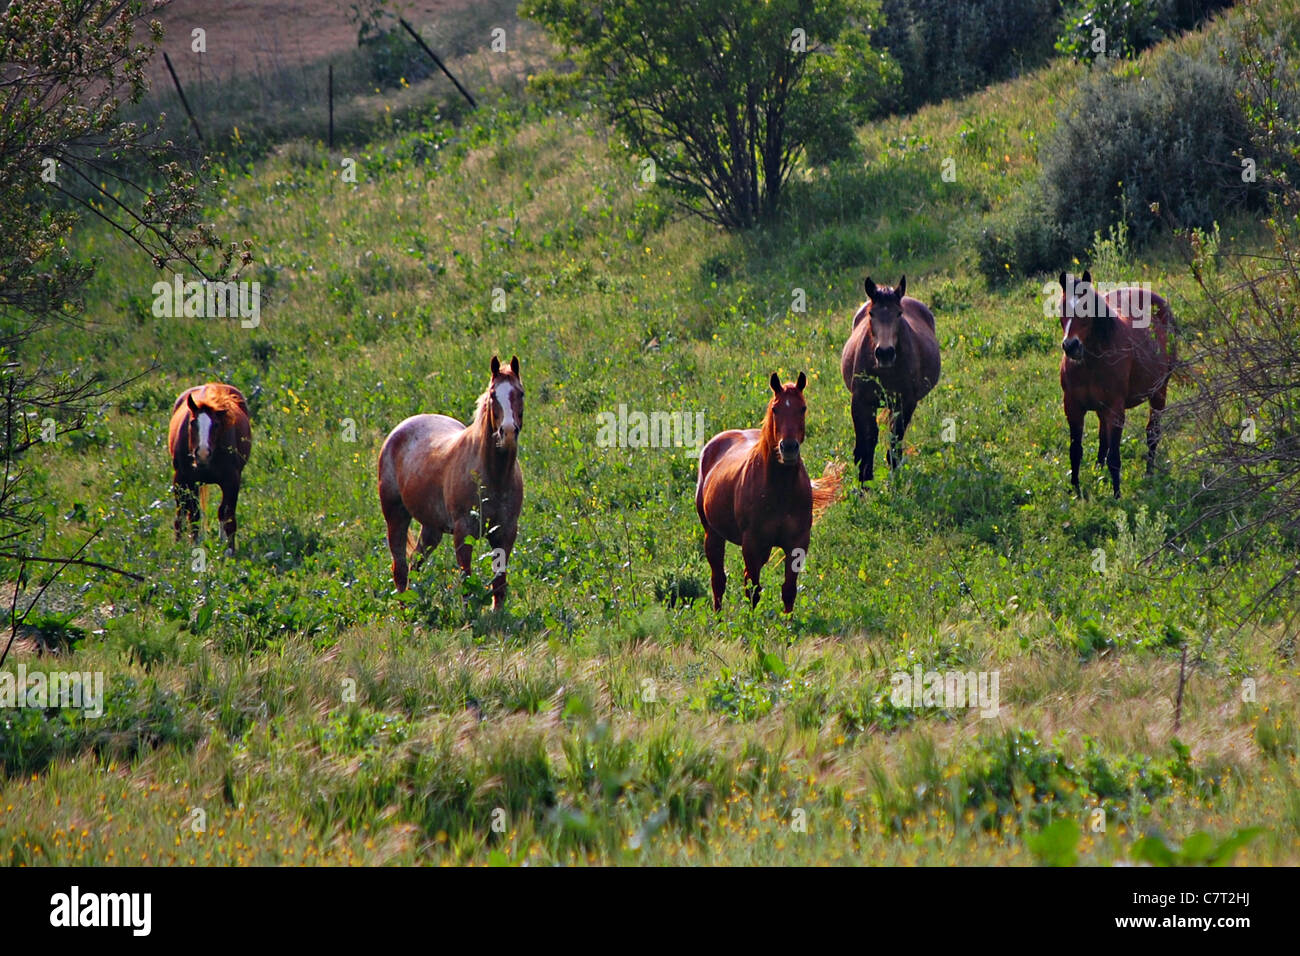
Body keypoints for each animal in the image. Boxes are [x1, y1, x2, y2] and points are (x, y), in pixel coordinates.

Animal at [165, 382, 250, 554]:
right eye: (192, 422)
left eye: (216, 424)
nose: (202, 453)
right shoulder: (186, 480)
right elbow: (193, 517)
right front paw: (193, 547)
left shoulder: (231, 481)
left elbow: (227, 516)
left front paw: (229, 551)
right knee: (181, 514)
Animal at [377, 356, 522, 608]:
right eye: (493, 394)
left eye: (520, 393)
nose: (508, 432)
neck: (493, 476)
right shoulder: (463, 533)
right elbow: (466, 580)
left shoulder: (505, 531)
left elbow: (499, 581)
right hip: (396, 517)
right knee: (400, 568)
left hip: (431, 529)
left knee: (415, 562)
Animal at [691, 369, 842, 616]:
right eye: (775, 409)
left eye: (803, 408)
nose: (788, 448)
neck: (780, 490)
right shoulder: (752, 543)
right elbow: (753, 590)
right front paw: (752, 623)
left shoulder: (797, 543)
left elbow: (788, 590)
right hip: (713, 535)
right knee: (719, 580)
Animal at [837, 277, 941, 486]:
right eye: (871, 313)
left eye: (899, 313)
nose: (885, 353)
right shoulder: (860, 402)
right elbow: (866, 444)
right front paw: (864, 484)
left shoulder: (906, 402)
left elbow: (894, 446)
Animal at [1055, 267, 1180, 496]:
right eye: (1061, 307)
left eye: (1087, 306)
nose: (1071, 346)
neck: (1091, 363)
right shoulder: (1073, 407)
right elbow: (1075, 451)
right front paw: (1076, 490)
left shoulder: (1115, 408)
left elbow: (1114, 456)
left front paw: (1116, 495)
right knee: (1103, 437)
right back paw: (1098, 470)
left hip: (1159, 392)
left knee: (1152, 433)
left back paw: (1149, 473)